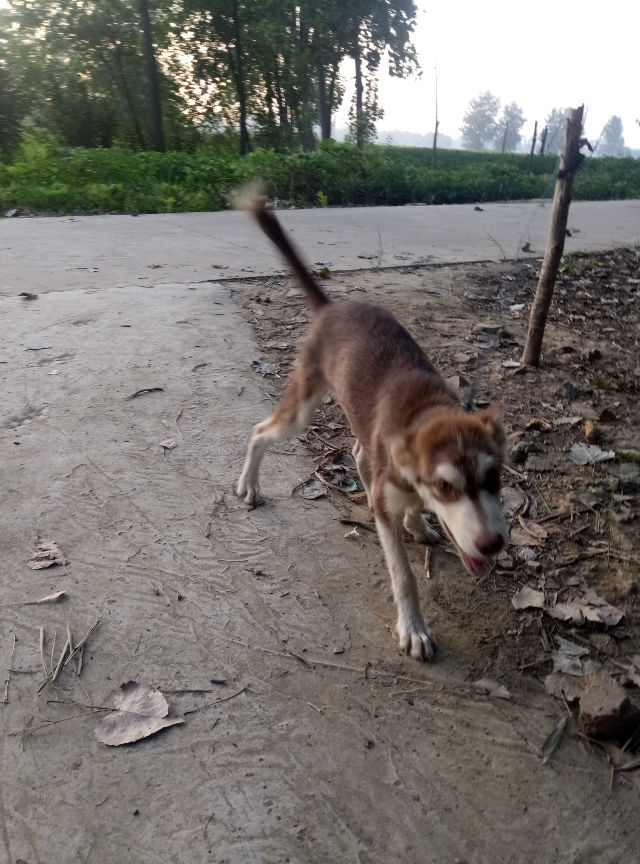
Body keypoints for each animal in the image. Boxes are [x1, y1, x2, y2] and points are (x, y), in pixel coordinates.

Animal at [237, 196, 508, 661]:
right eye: (446, 487)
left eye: (494, 478)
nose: (493, 545)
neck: (427, 412)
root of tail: (330, 307)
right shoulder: (387, 504)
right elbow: (404, 575)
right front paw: (414, 628)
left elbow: (411, 507)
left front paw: (418, 525)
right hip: (303, 406)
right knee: (261, 430)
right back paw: (249, 485)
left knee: (360, 452)